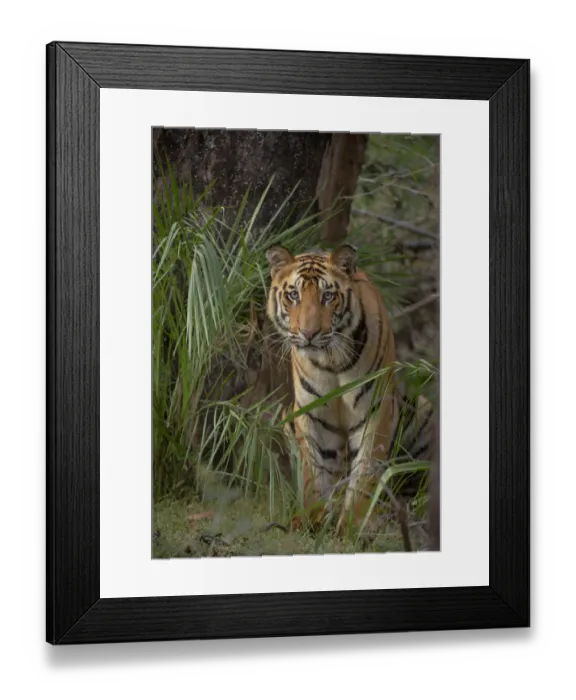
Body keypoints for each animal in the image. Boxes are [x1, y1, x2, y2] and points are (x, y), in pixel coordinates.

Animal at [265, 243, 436, 538]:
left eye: (328, 296)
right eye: (294, 295)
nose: (309, 333)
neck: (330, 361)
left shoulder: (376, 411)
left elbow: (365, 474)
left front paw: (353, 527)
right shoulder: (310, 415)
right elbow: (313, 472)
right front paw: (311, 521)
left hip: (422, 410)